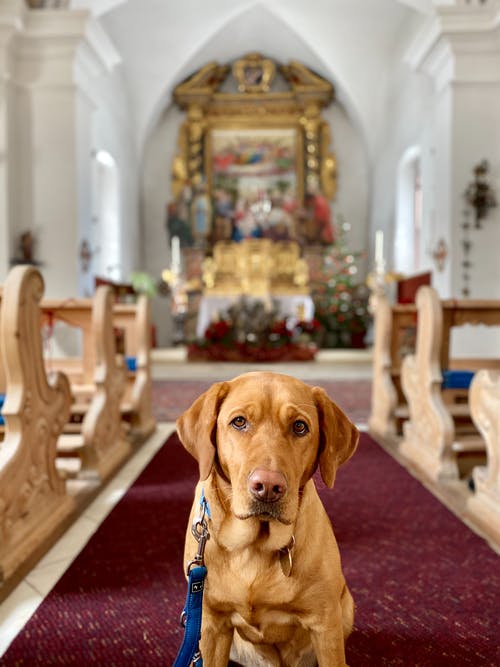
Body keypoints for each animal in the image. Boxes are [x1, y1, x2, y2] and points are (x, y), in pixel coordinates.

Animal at [178, 374, 358, 664]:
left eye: (299, 426)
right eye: (239, 422)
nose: (268, 486)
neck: (255, 546)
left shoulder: (325, 626)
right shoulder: (211, 626)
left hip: (346, 607)